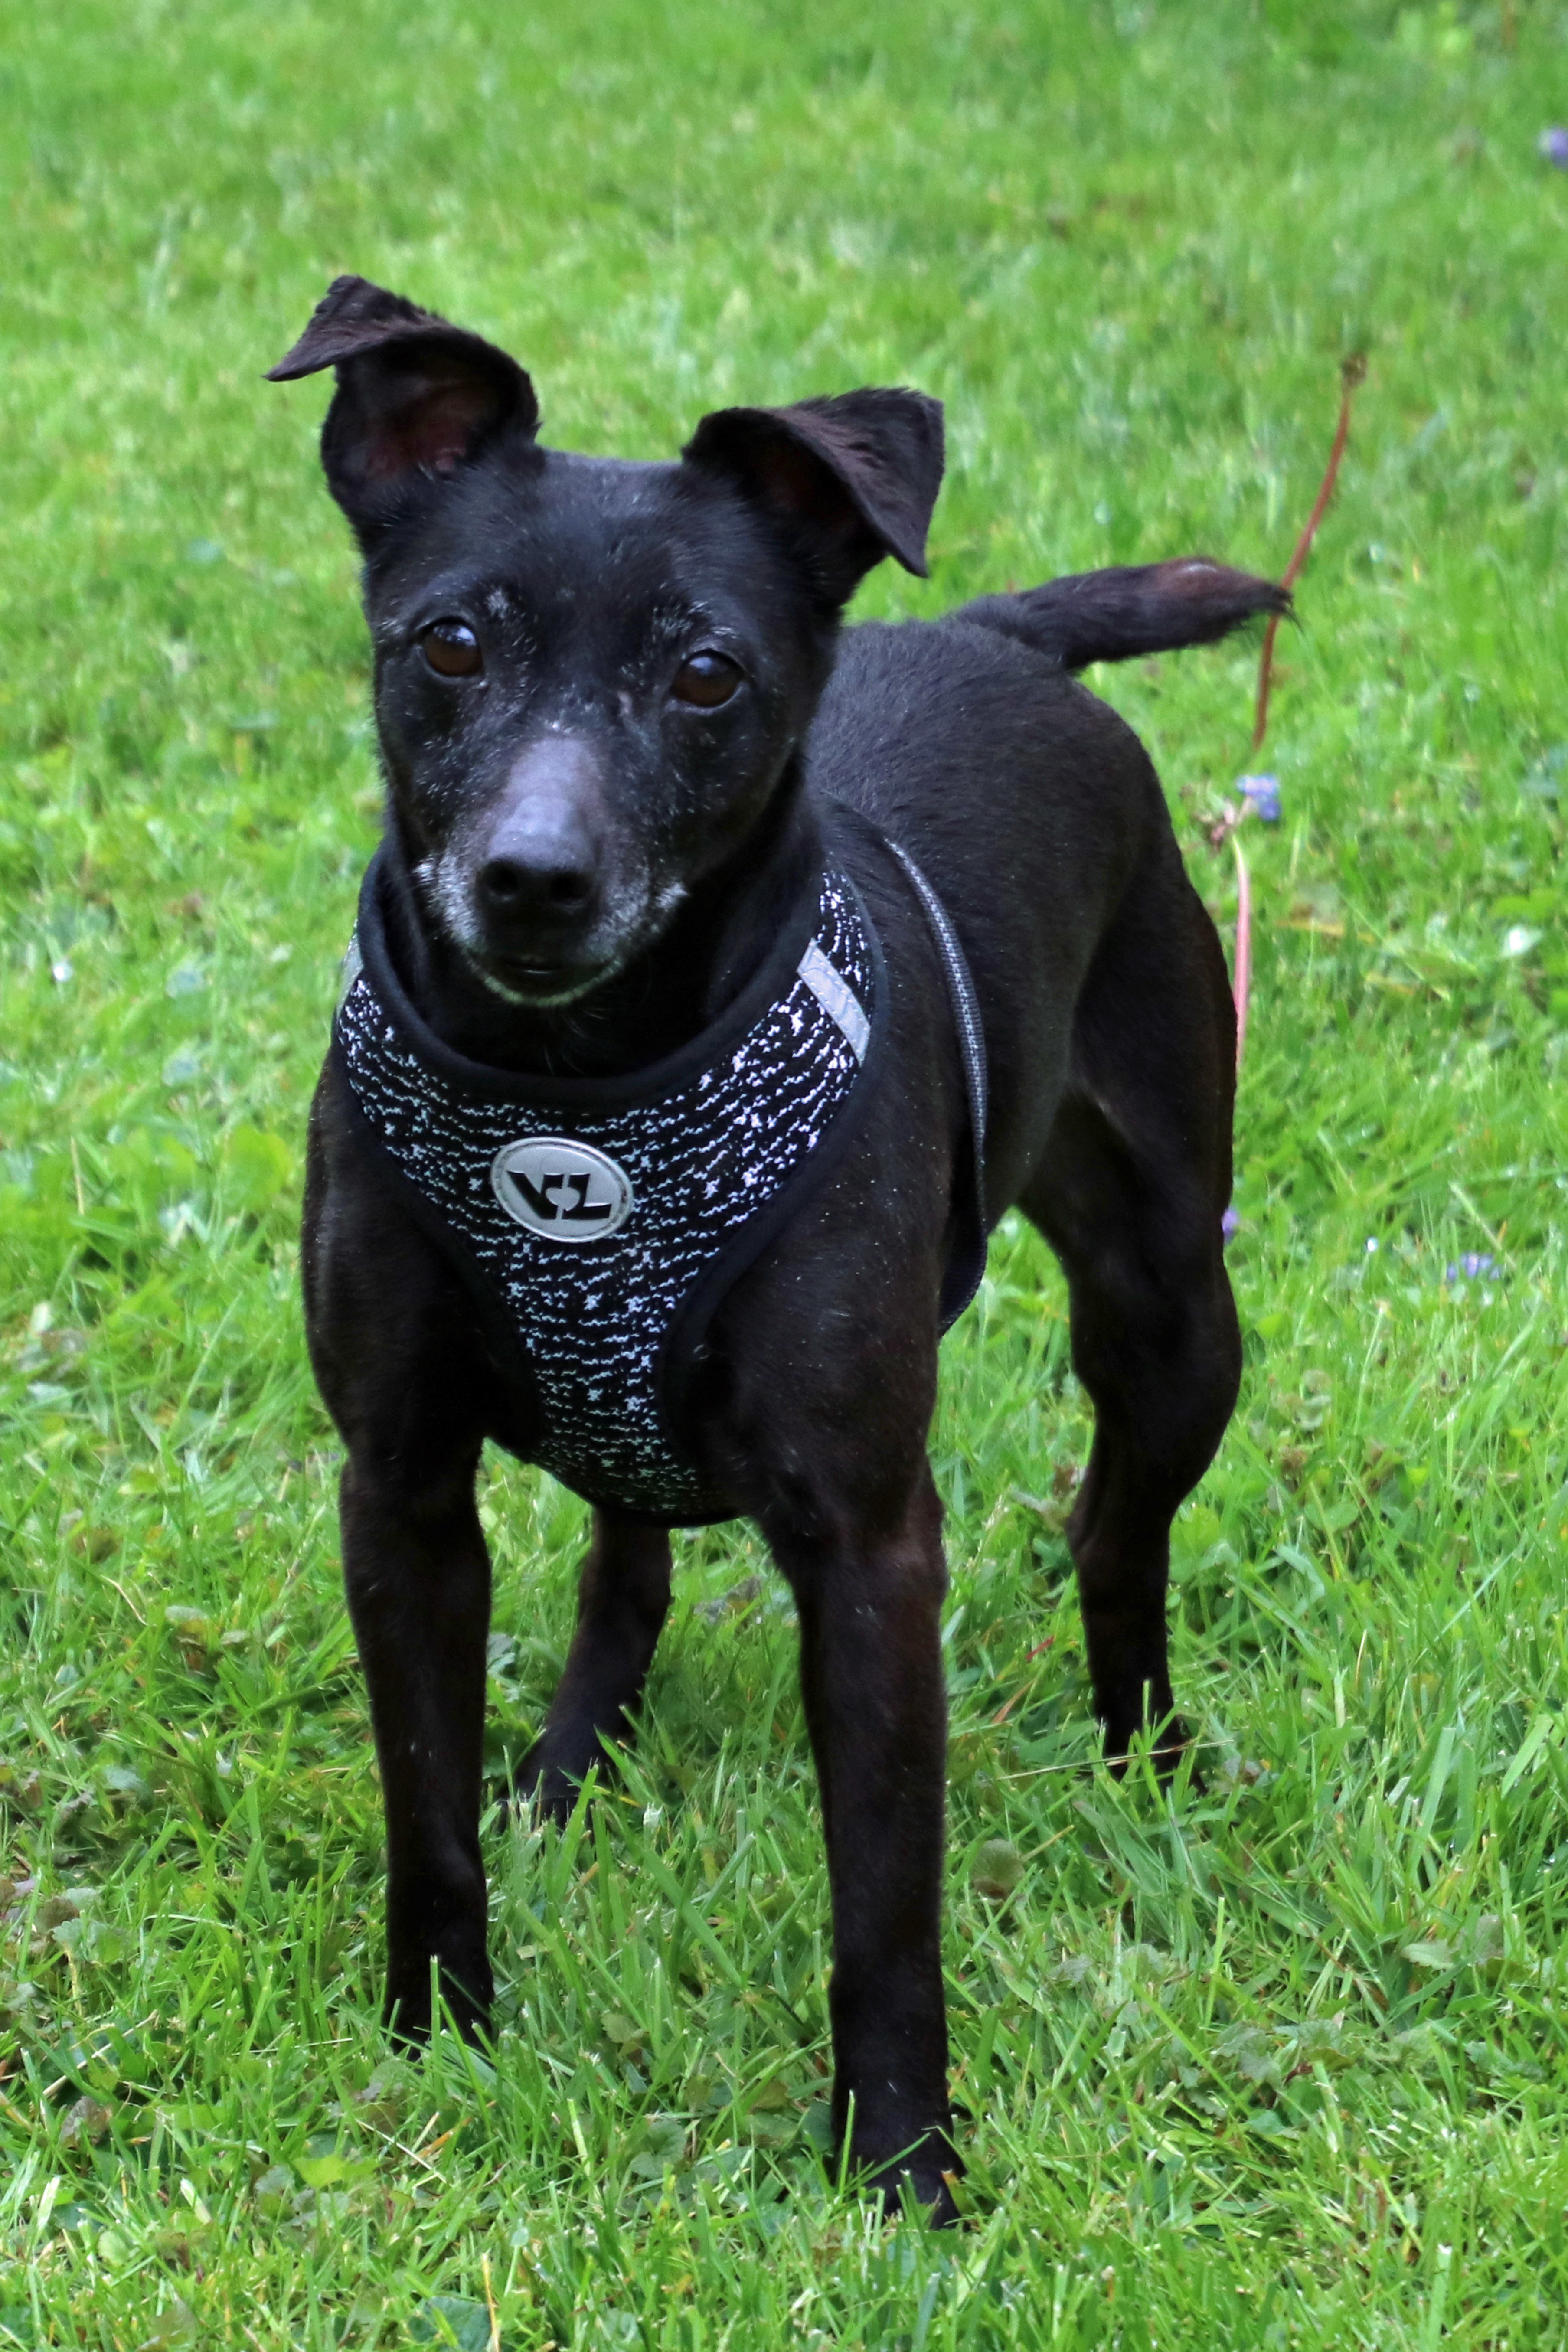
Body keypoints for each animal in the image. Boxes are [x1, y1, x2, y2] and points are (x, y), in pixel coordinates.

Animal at [270, 280, 1288, 2220]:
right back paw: (571, 1759)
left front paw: (899, 2167)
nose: (532, 878)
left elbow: (882, 1898)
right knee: (627, 1557)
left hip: (1169, 1312)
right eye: (450, 645)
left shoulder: (872, 1543)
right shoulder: (402, 1496)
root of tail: (986, 632)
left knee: (1118, 1535)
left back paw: (1145, 1757)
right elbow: (424, 1812)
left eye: (706, 674)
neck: (572, 1094)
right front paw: (438, 2047)